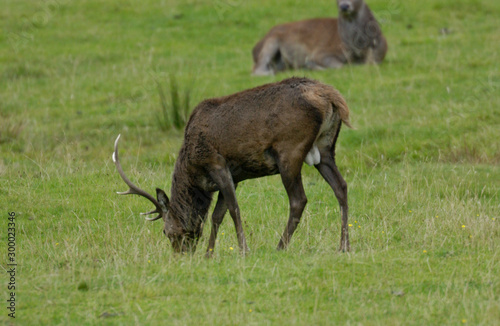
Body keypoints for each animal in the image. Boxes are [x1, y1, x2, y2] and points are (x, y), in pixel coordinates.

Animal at [113, 77, 352, 255]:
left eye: (166, 231)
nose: (181, 255)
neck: (194, 169)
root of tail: (332, 97)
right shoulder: (234, 177)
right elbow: (217, 215)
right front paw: (209, 254)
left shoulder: (217, 164)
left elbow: (233, 209)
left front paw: (243, 250)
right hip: (325, 148)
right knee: (341, 186)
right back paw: (344, 246)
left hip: (290, 151)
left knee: (298, 200)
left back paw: (280, 247)